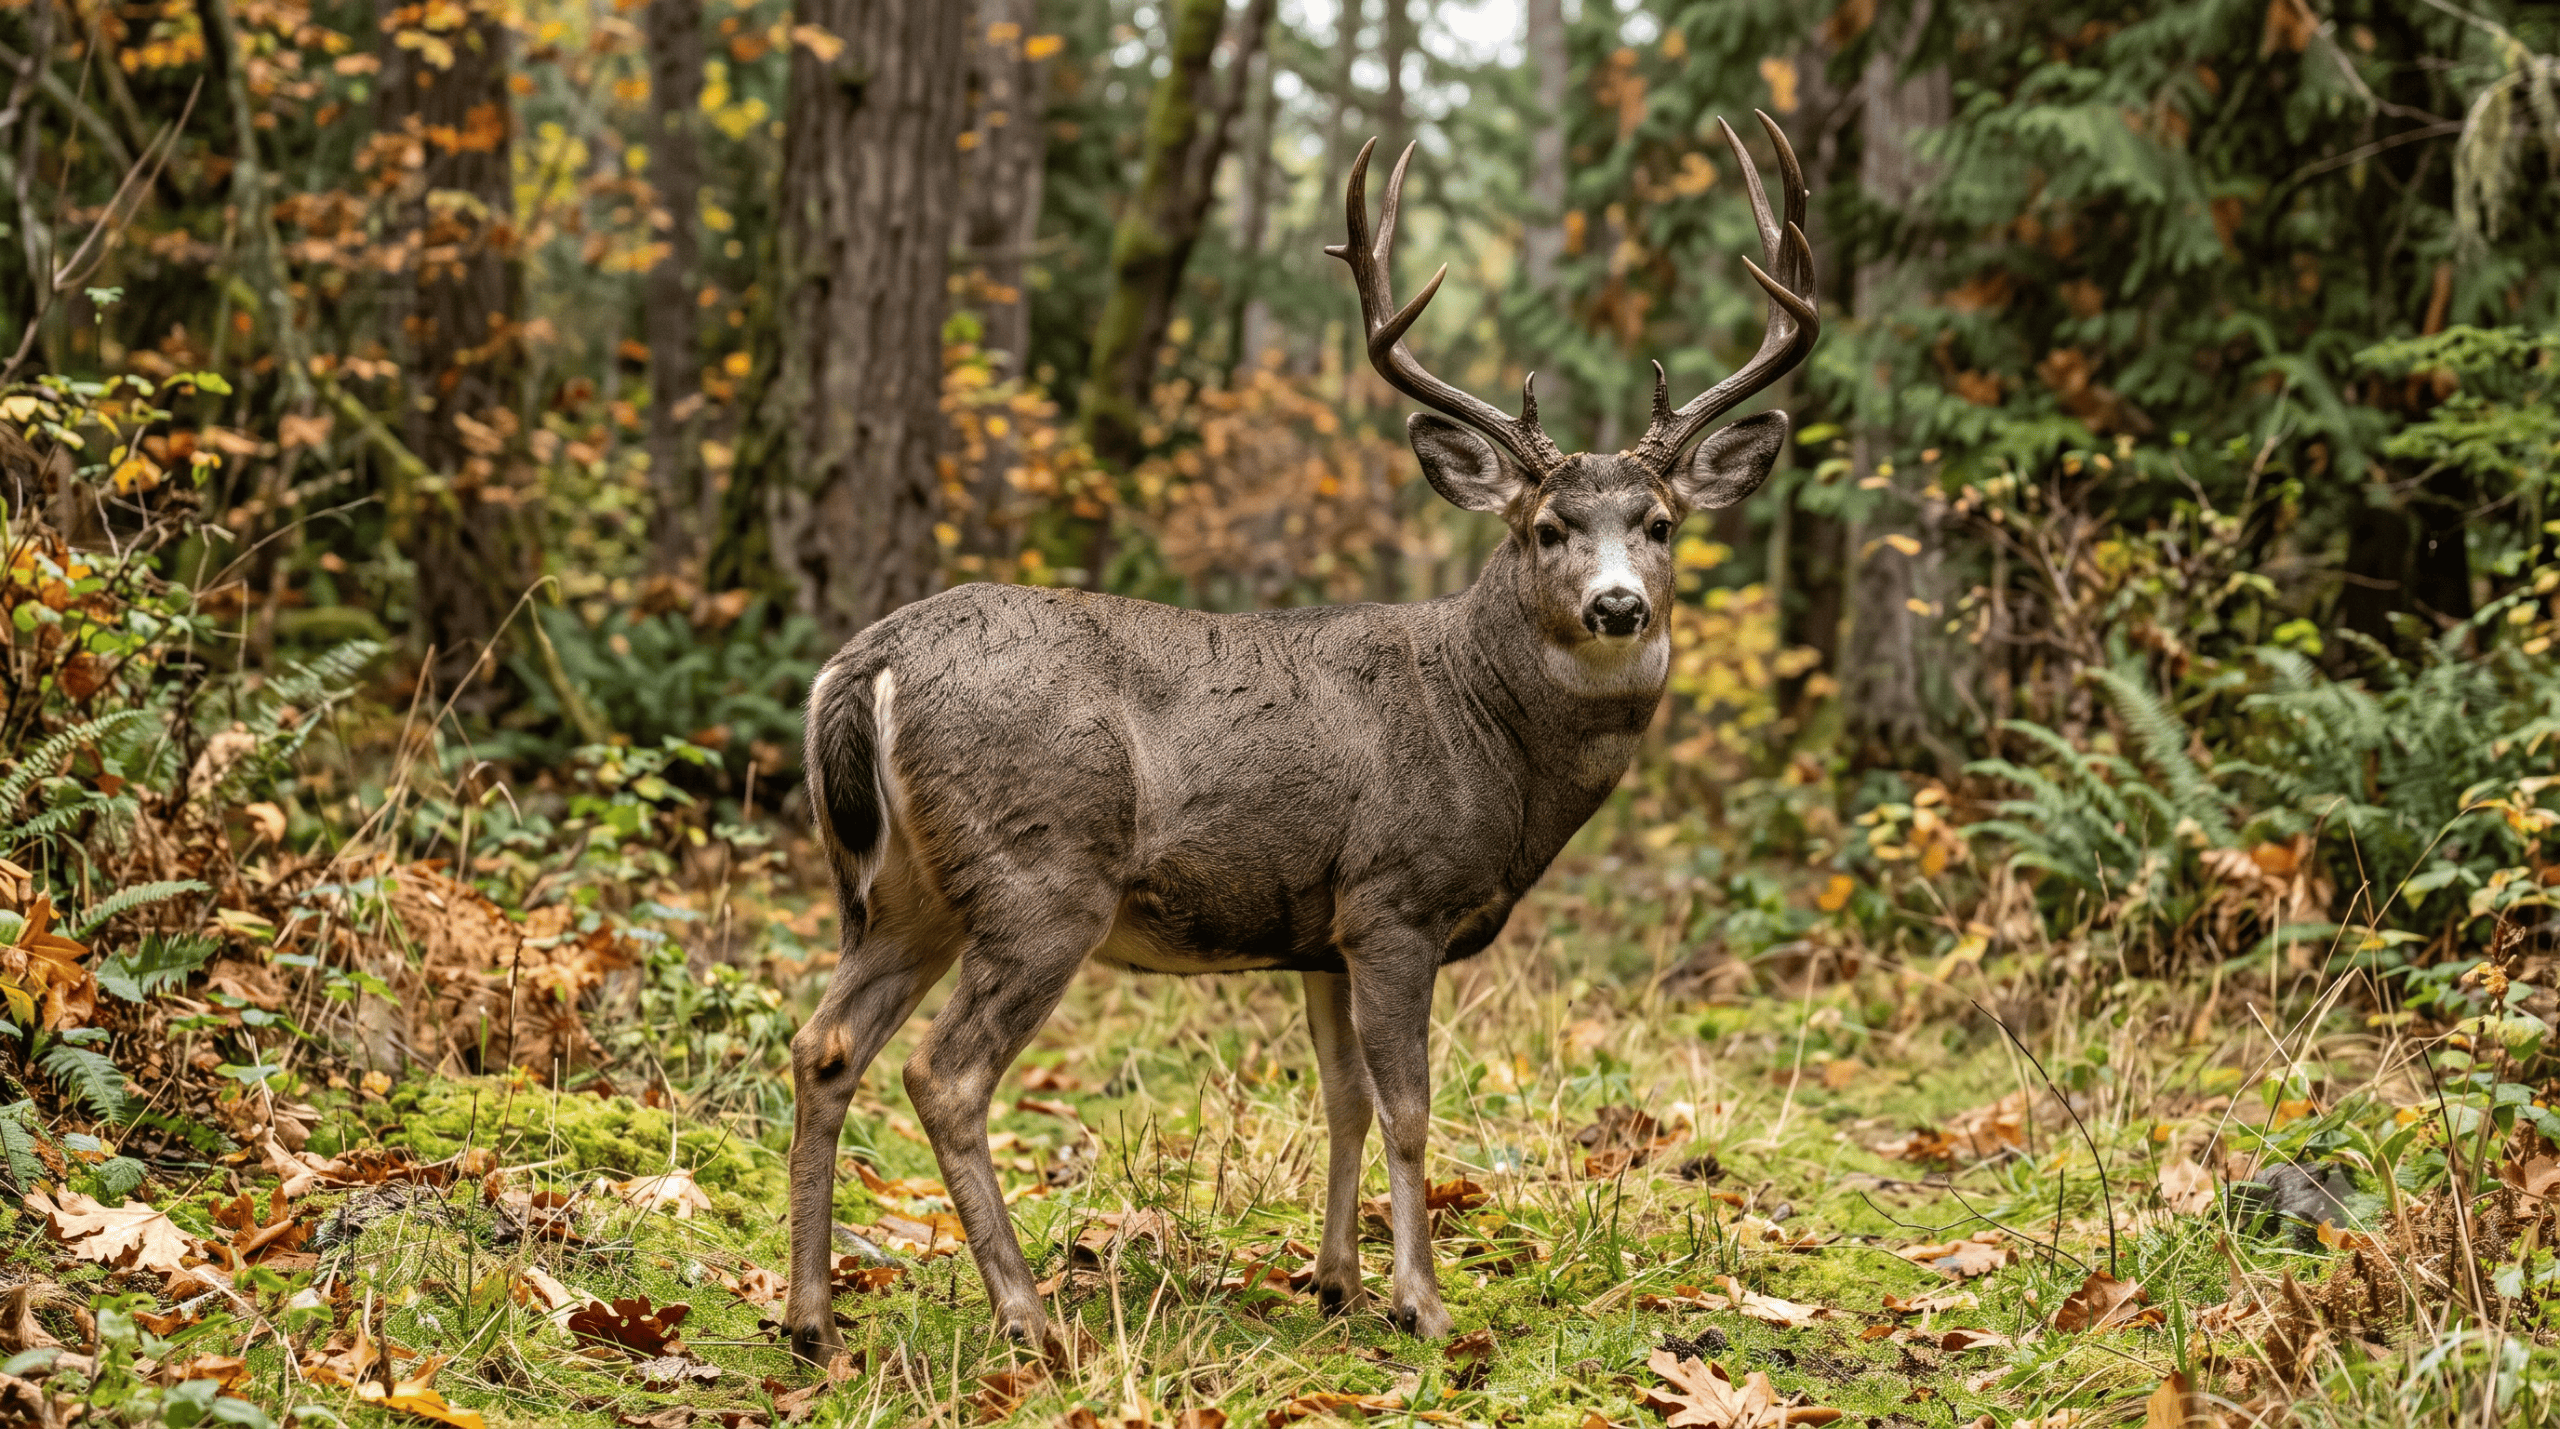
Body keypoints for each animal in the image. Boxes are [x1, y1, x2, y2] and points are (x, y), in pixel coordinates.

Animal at [782, 113, 1818, 1362]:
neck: (1486, 730)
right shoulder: (1393, 894)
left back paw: (809, 1317)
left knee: (824, 1044)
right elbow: (1410, 1104)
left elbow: (1343, 1096)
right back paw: (1030, 1319)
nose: (1617, 604)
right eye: (1545, 526)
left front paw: (1333, 1280)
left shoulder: (1319, 930)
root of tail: (865, 662)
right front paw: (1422, 1300)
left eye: (1660, 524)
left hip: (900, 891)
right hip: (1039, 870)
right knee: (944, 1071)